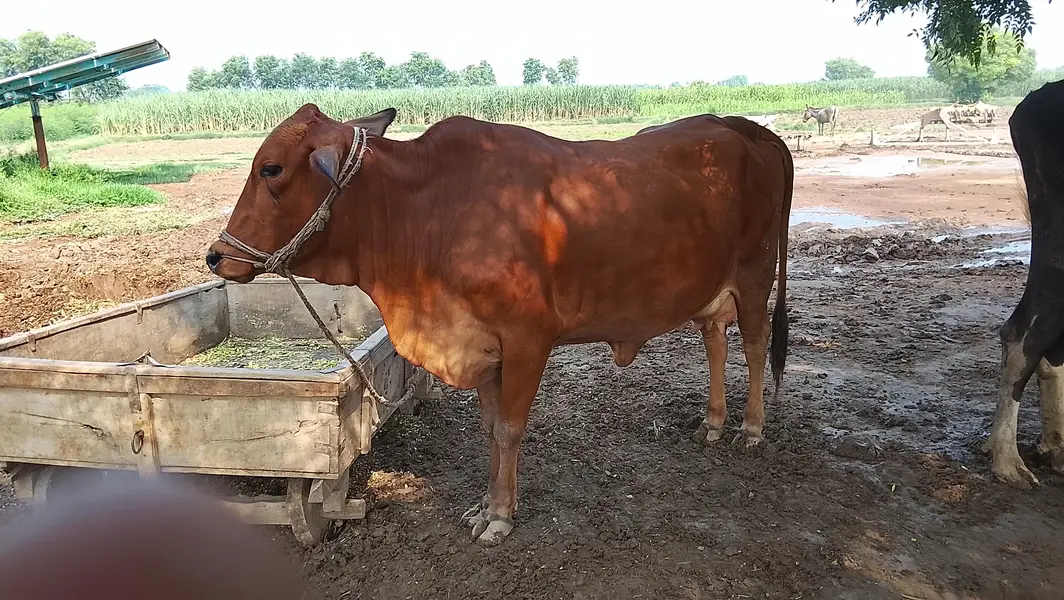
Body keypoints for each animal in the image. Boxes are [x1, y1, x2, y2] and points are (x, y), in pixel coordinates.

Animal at [205, 104, 794, 546]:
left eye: (272, 169)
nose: (215, 256)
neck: (428, 211)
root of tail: (752, 129)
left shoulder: (528, 339)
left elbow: (509, 429)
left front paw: (502, 518)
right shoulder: (482, 346)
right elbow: (490, 430)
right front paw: (485, 507)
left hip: (756, 274)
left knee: (755, 345)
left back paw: (750, 428)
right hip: (712, 288)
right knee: (715, 340)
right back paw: (713, 422)